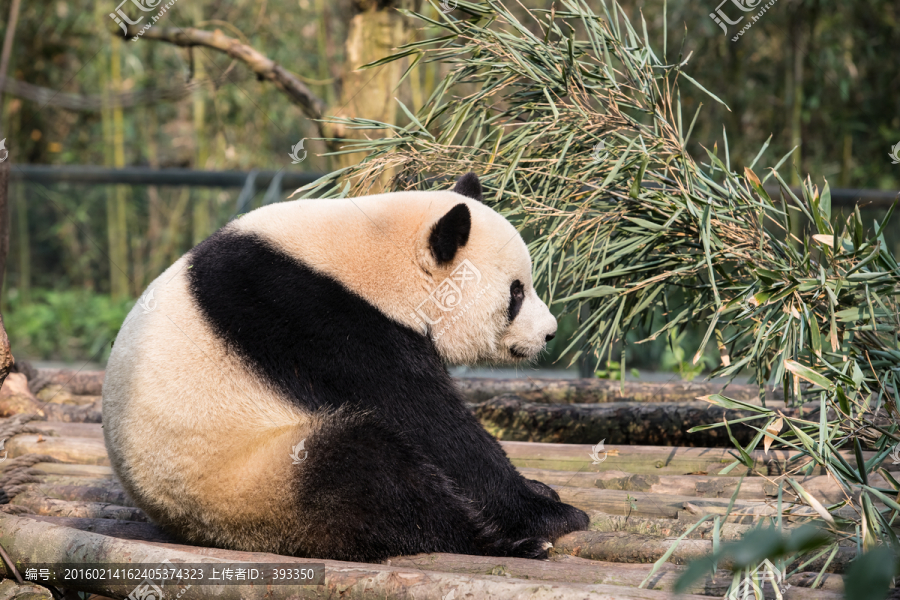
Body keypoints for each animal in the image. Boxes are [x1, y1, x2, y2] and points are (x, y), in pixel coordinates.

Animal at [102, 173, 592, 564]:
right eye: (516, 292)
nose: (549, 333)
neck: (373, 258)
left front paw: (542, 491)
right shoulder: (320, 319)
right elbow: (428, 423)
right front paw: (550, 513)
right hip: (250, 475)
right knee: (369, 477)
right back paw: (502, 544)